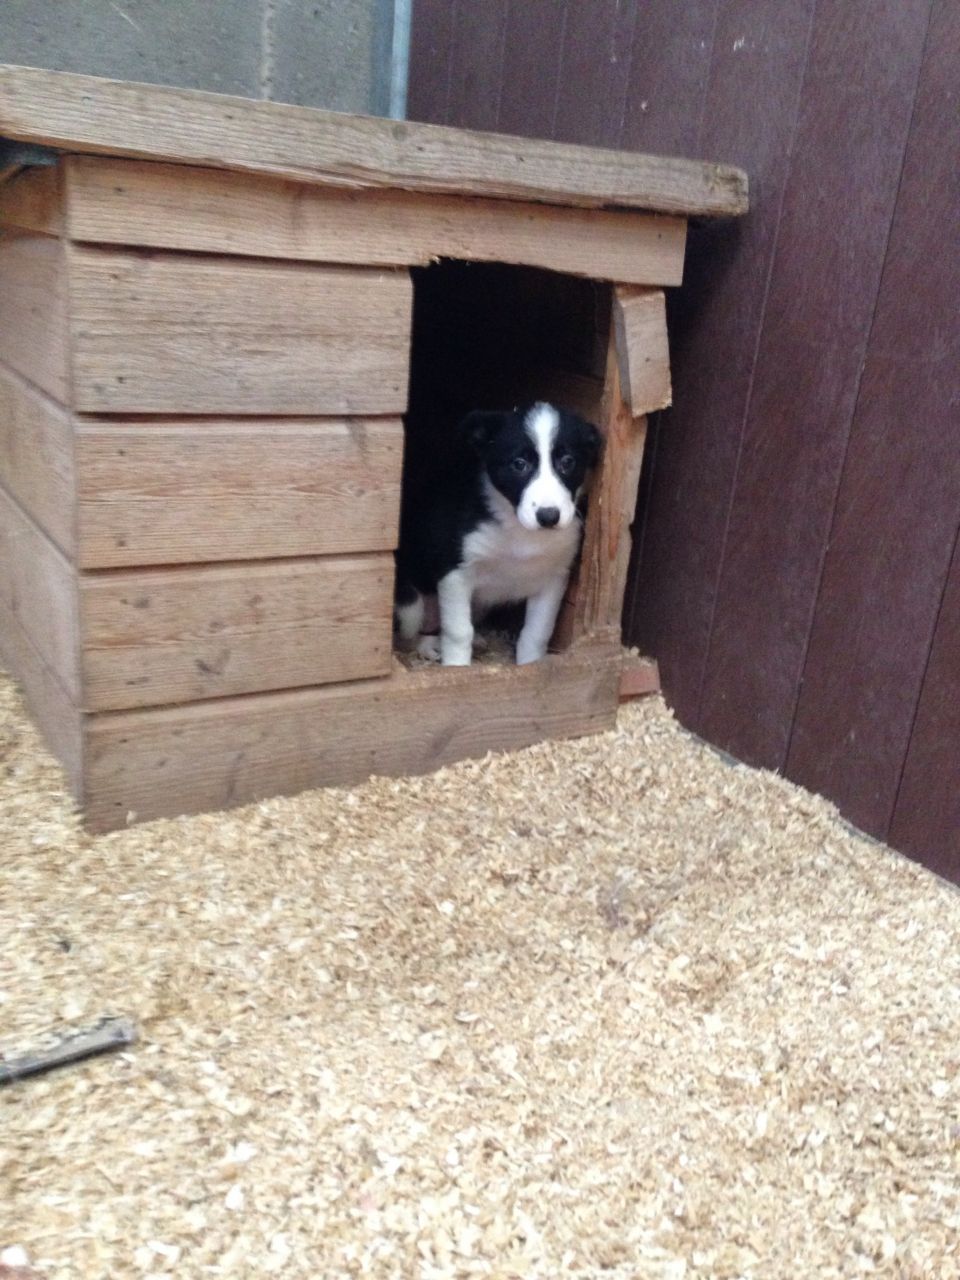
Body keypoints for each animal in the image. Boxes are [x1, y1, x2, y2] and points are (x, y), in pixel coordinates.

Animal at [394, 401, 599, 665]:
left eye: (567, 461)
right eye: (519, 464)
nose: (548, 517)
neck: (520, 531)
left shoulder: (554, 578)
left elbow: (537, 633)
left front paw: (529, 666)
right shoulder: (455, 573)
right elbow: (459, 632)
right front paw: (456, 668)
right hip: (409, 604)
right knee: (404, 636)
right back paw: (429, 646)